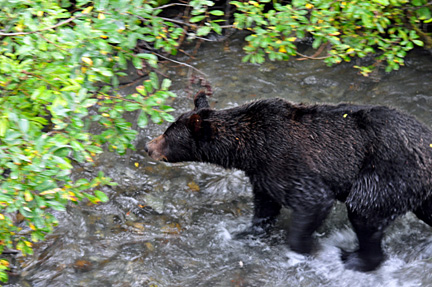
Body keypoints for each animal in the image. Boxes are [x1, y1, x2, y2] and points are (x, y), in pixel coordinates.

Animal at [144, 92, 432, 272]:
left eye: (168, 135)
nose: (148, 147)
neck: (249, 150)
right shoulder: (262, 174)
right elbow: (265, 206)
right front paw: (244, 232)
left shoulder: (285, 161)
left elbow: (313, 201)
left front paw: (306, 248)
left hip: (386, 172)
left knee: (364, 211)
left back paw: (355, 259)